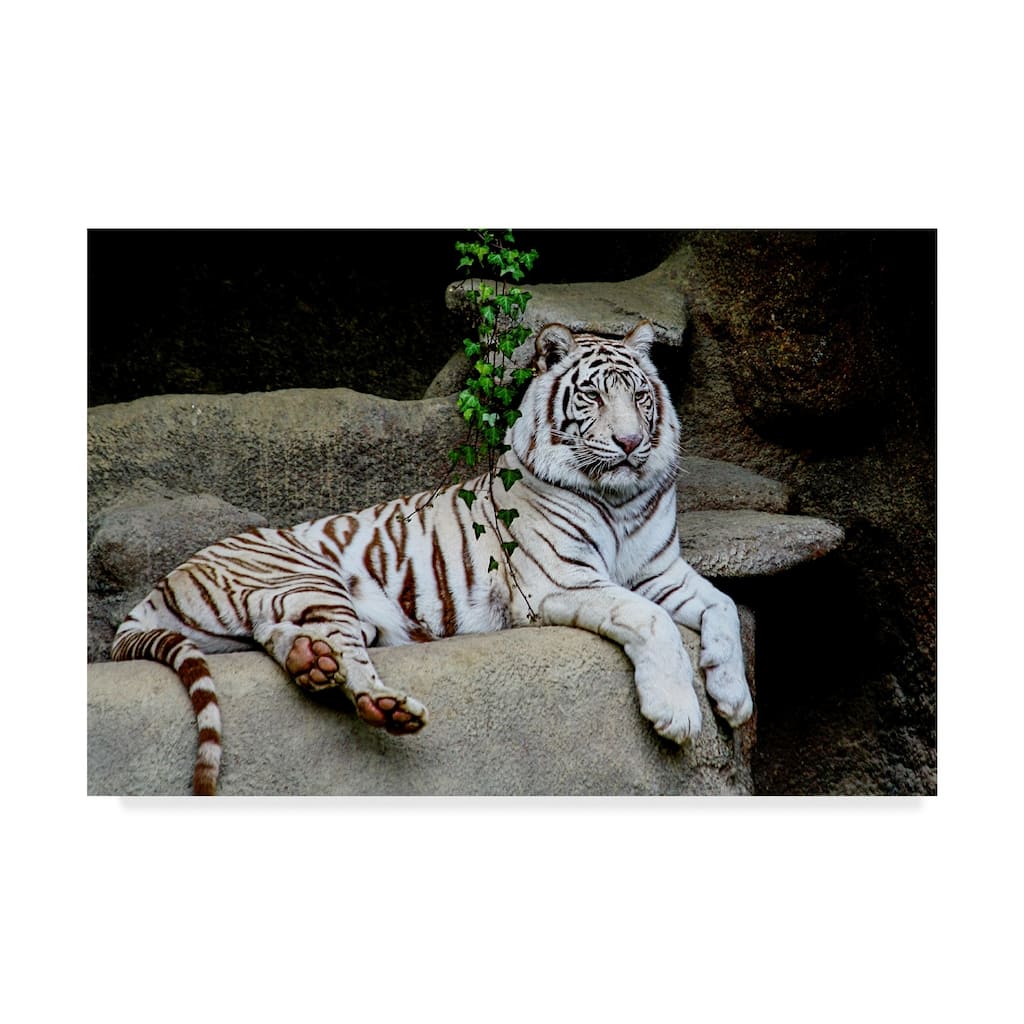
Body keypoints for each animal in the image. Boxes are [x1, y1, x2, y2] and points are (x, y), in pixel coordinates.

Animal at [111, 320, 754, 794]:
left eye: (640, 395)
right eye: (594, 395)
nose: (629, 443)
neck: (619, 497)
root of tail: (159, 585)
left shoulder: (661, 570)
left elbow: (722, 605)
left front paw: (734, 698)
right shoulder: (563, 580)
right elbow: (653, 620)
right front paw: (678, 712)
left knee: (282, 638)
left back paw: (308, 661)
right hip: (312, 581)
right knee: (351, 665)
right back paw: (384, 704)